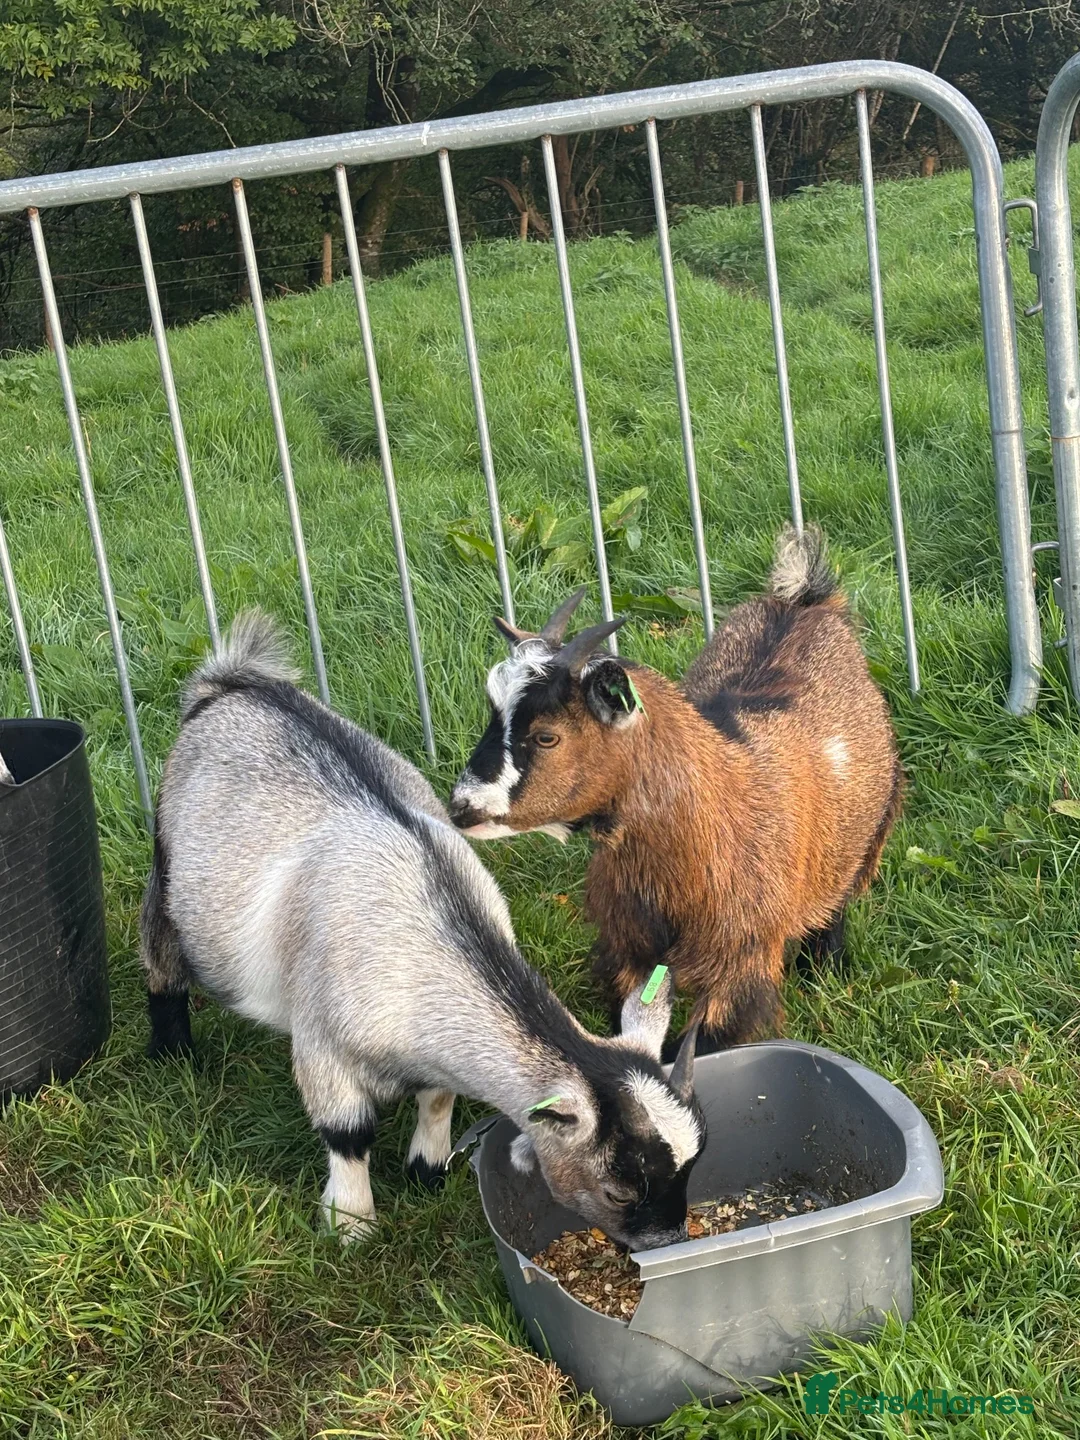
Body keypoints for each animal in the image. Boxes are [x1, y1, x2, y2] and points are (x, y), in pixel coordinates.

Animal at [140, 611, 705, 1246]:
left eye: (693, 1164)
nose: (668, 1240)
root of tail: (230, 686)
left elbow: (437, 1098)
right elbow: (347, 1133)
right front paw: (351, 1226)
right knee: (159, 950)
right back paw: (171, 1051)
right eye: (619, 1190)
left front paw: (426, 1172)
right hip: (167, 861)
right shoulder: (321, 1046)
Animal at [450, 525, 902, 1054]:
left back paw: (823, 969)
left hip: (865, 836)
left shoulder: (740, 965)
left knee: (835, 906)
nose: (462, 806)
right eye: (492, 714)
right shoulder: (626, 947)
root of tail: (805, 600)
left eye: (547, 736)